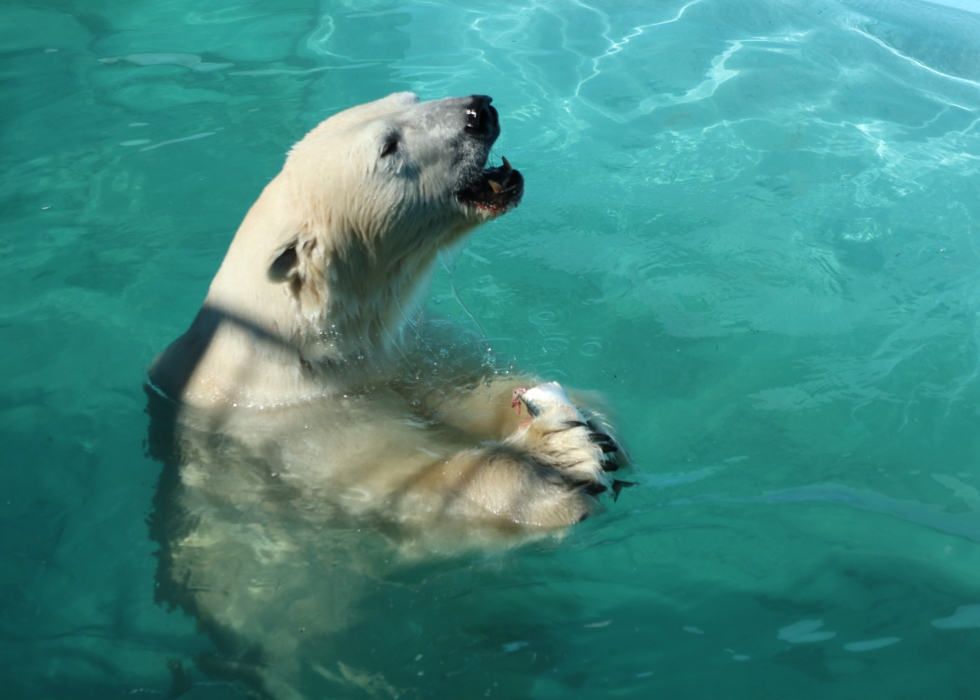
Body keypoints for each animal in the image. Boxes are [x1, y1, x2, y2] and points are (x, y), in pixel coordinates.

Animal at [147, 94, 620, 700]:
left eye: (411, 99)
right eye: (388, 148)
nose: (479, 109)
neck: (304, 342)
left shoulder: (408, 345)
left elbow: (465, 389)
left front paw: (592, 426)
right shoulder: (285, 422)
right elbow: (404, 486)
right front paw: (552, 466)